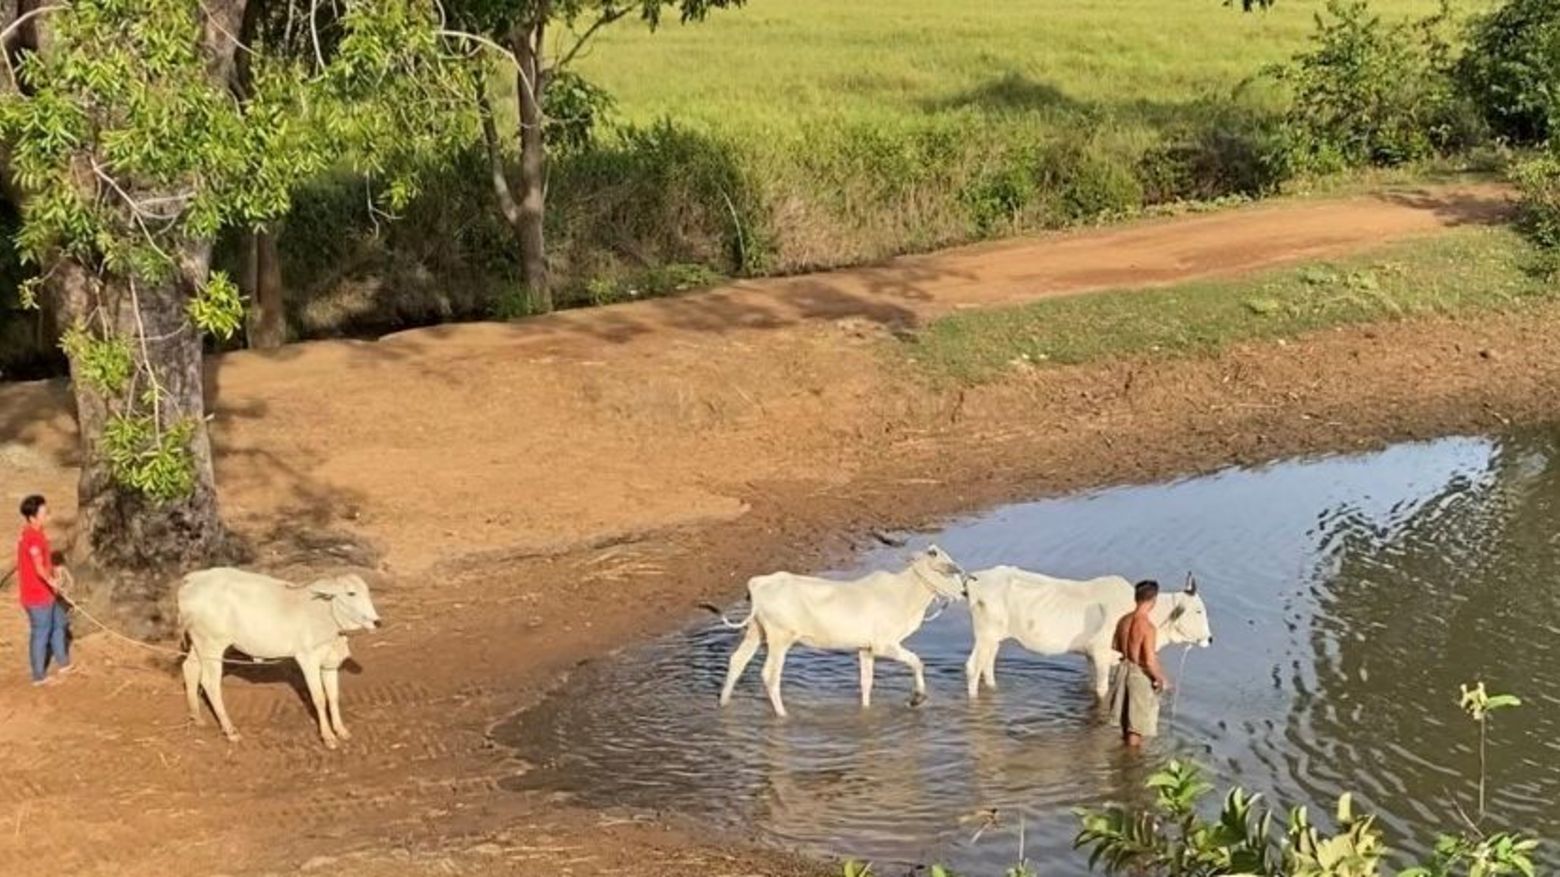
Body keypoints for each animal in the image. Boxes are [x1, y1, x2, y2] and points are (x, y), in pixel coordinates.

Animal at [177, 568, 380, 742]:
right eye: (351, 593)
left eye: (367, 592)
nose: (377, 622)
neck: (325, 612)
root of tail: (192, 580)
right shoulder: (308, 659)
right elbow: (319, 699)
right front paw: (328, 737)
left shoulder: (329, 663)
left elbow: (333, 697)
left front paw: (341, 730)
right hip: (212, 645)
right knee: (210, 683)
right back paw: (230, 731)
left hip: (201, 644)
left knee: (190, 668)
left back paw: (196, 716)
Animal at [705, 543, 967, 714]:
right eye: (950, 570)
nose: (965, 592)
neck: (906, 593)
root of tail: (758, 583)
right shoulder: (884, 645)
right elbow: (917, 662)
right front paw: (917, 698)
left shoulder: (865, 648)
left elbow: (866, 682)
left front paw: (866, 710)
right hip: (780, 638)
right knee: (769, 675)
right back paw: (783, 715)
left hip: (756, 631)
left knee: (737, 661)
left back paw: (723, 703)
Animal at [960, 568, 1216, 702]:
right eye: (1198, 610)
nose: (1210, 639)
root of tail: (977, 578)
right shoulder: (1101, 655)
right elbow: (1102, 690)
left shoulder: (1094, 657)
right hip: (985, 636)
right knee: (973, 667)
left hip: (994, 638)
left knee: (987, 666)